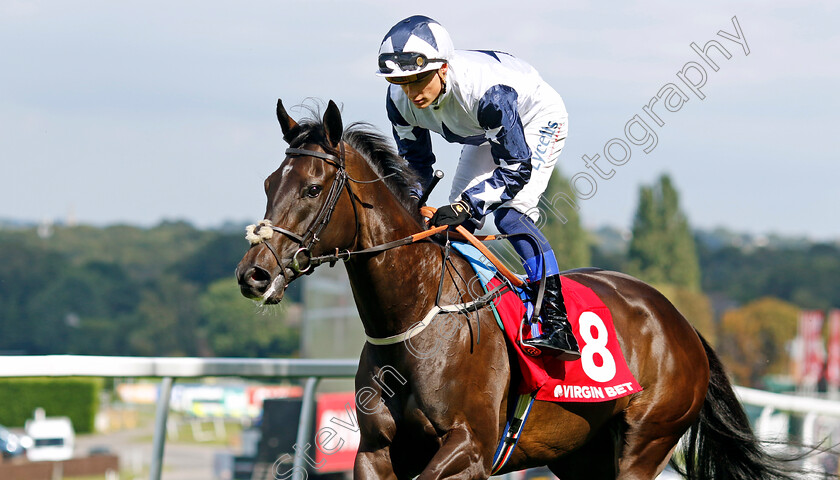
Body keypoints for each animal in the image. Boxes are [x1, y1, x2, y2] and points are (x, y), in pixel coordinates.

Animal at [233, 99, 796, 478]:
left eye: (312, 189)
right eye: (267, 184)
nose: (253, 274)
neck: (417, 320)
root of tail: (682, 324)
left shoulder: (471, 448)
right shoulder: (374, 451)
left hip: (645, 443)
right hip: (580, 454)